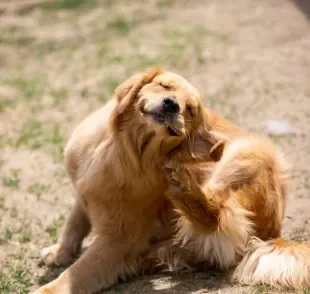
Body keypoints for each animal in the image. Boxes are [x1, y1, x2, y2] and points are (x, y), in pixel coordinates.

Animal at [32, 68, 308, 292]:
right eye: (164, 86)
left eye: (190, 109)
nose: (171, 105)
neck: (125, 149)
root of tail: (273, 232)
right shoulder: (84, 192)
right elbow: (75, 223)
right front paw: (60, 251)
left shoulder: (117, 239)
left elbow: (74, 274)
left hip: (251, 149)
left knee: (218, 214)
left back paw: (185, 189)